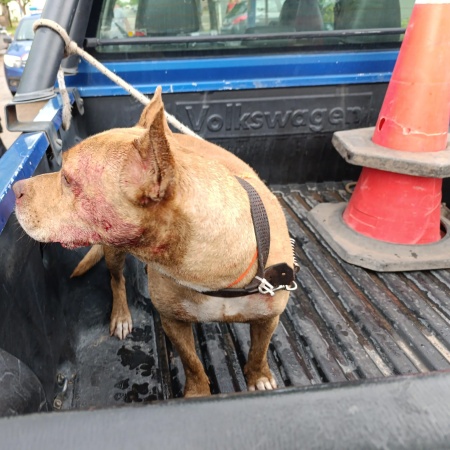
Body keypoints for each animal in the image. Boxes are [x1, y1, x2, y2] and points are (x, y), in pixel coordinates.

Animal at [12, 88, 296, 398]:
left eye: (66, 178)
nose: (15, 189)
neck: (215, 275)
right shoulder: (173, 321)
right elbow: (192, 362)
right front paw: (197, 392)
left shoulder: (268, 319)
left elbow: (259, 351)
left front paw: (259, 377)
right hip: (113, 251)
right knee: (117, 280)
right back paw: (121, 314)